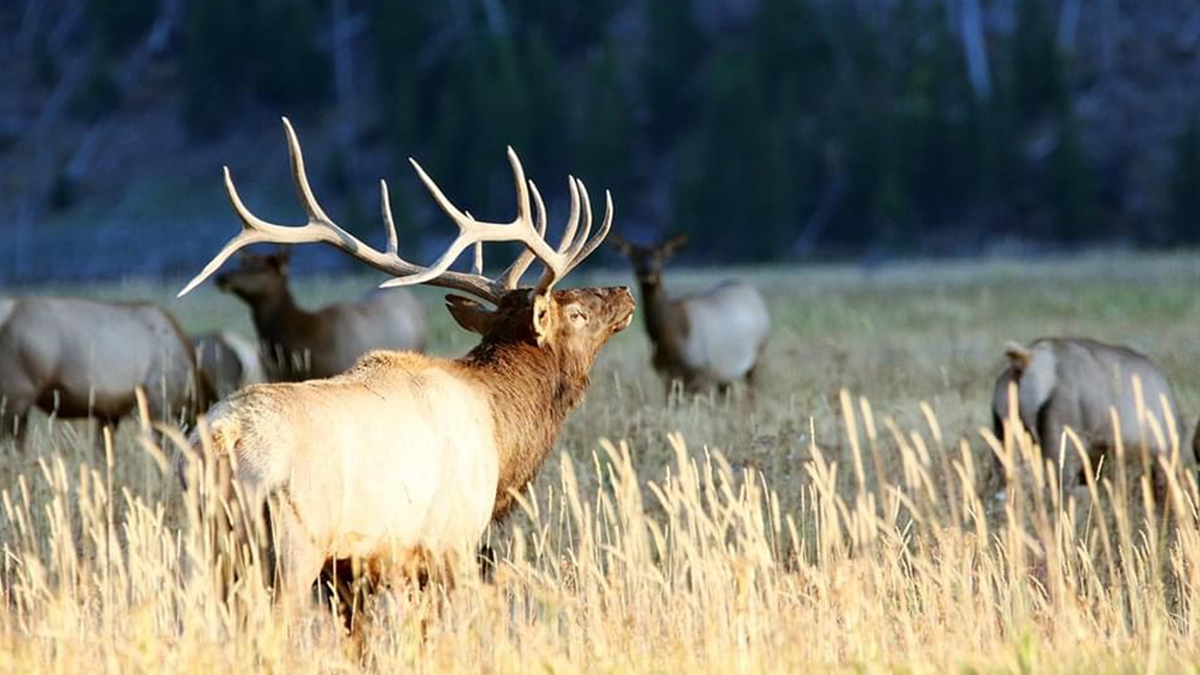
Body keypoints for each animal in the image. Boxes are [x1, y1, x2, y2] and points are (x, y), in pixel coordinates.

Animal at [608, 234, 770, 394]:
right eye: (634, 256)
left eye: (661, 256)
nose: (647, 272)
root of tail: (754, 293)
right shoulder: (666, 376)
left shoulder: (703, 374)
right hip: (726, 373)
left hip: (759, 356)